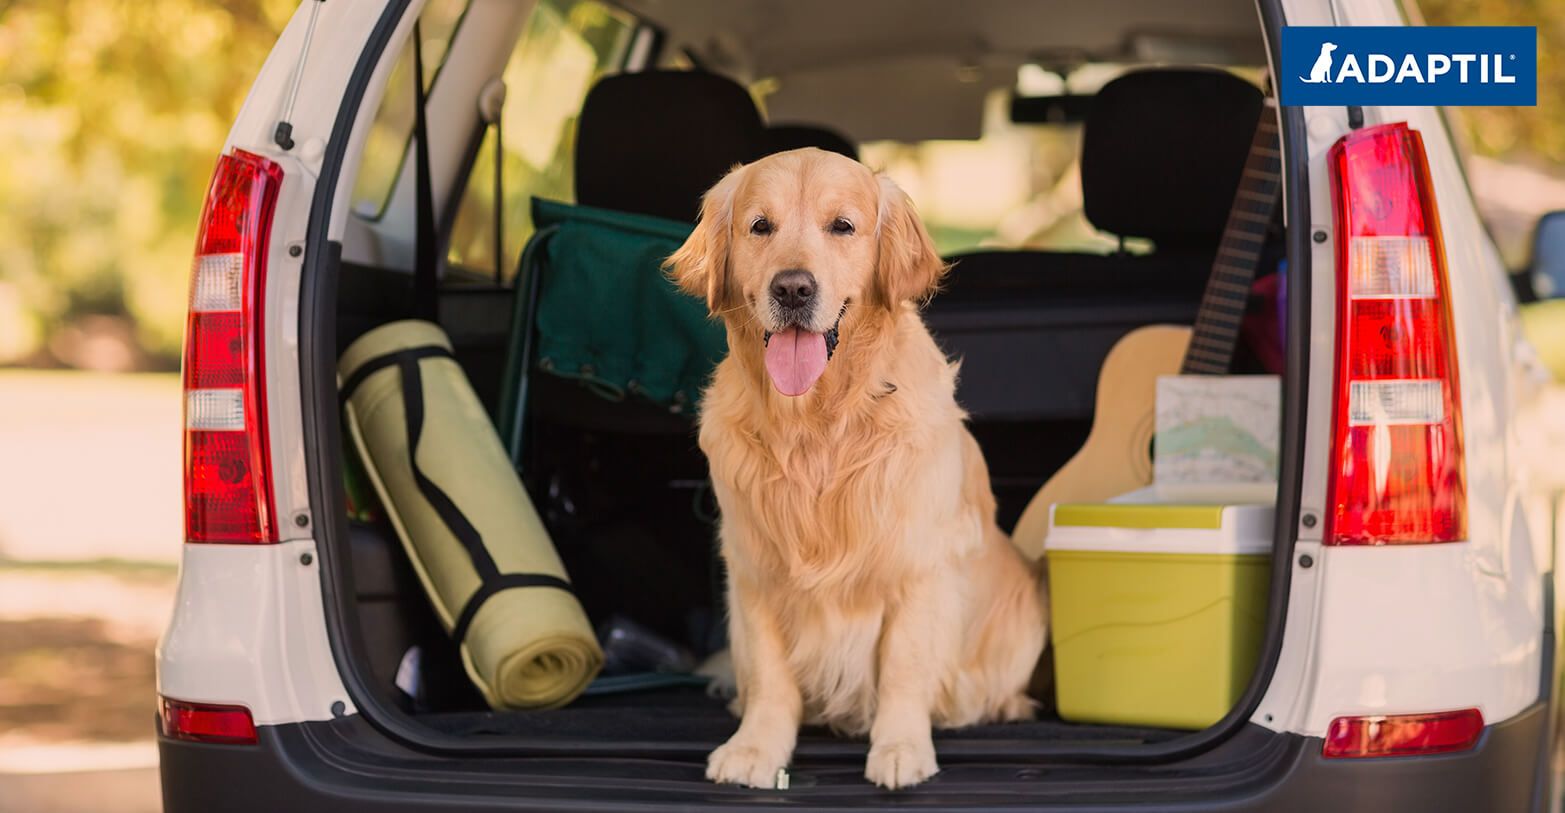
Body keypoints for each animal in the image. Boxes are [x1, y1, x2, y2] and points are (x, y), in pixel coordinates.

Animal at [666, 149, 1045, 792]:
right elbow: (769, 674)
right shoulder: (753, 566)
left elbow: (904, 666)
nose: (793, 287)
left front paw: (900, 748)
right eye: (760, 226)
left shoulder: (918, 567)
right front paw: (756, 748)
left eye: (842, 226)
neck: (817, 425)